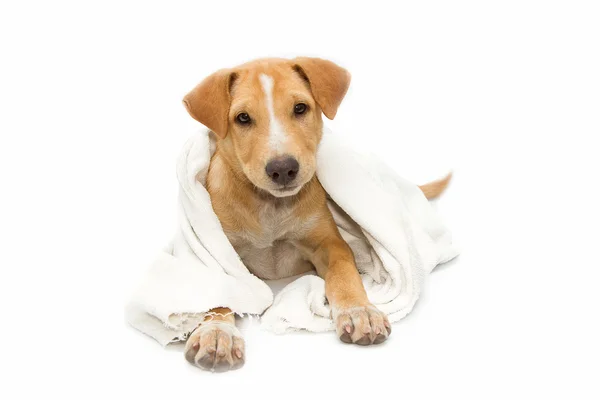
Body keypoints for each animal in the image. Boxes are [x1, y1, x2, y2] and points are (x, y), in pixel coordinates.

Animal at [182, 57, 450, 370]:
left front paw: (360, 311)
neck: (271, 207)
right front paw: (216, 331)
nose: (283, 168)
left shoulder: (330, 244)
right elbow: (221, 291)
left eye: (300, 108)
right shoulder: (218, 252)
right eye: (243, 118)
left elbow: (345, 275)